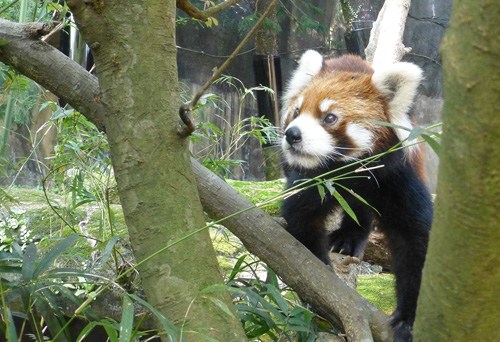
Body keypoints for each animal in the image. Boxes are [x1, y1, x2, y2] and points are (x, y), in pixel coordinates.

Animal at [282, 49, 434, 340]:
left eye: (329, 117)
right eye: (297, 111)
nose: (292, 134)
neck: (350, 171)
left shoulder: (397, 179)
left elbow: (416, 241)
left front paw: (409, 319)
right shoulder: (315, 181)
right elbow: (301, 222)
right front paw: (317, 284)